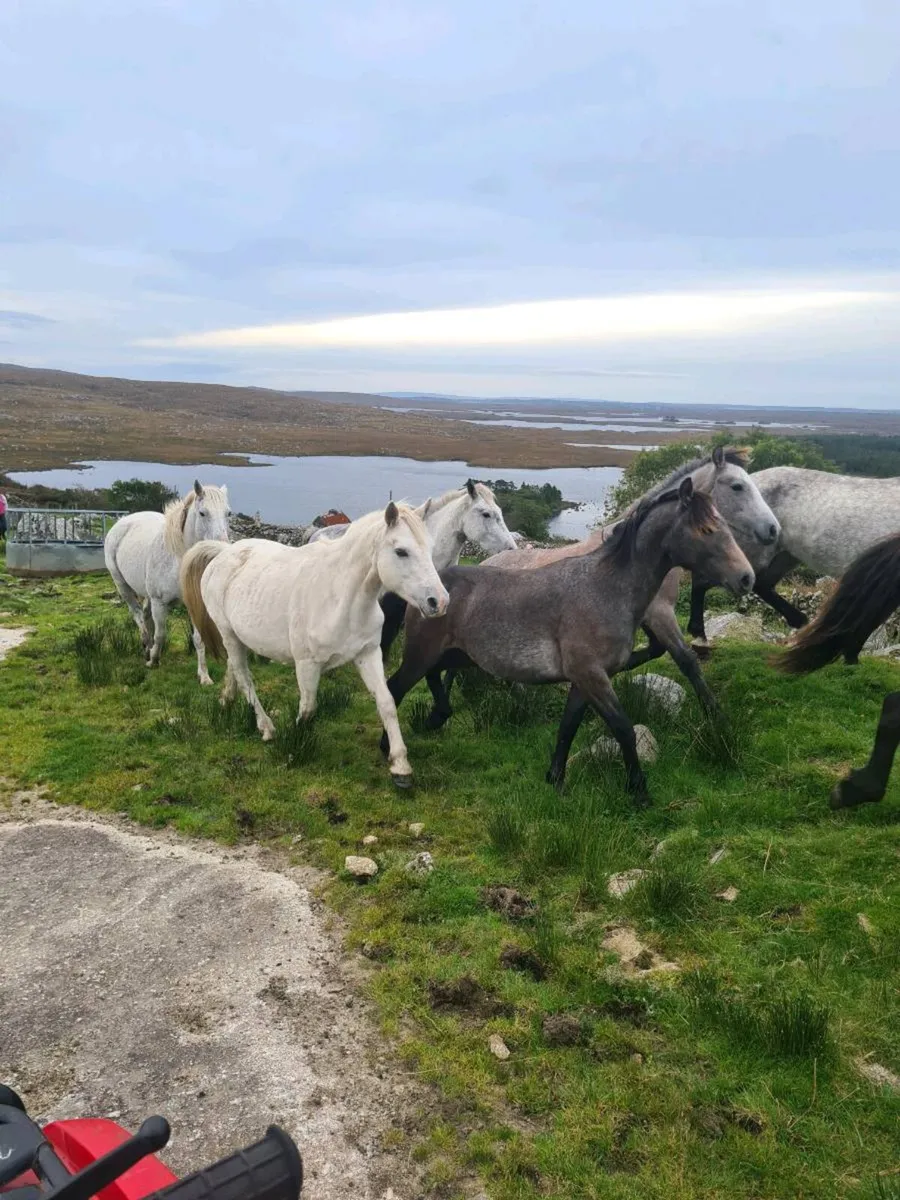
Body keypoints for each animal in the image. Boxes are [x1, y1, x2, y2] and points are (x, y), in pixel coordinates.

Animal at [104, 481, 231, 683]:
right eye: (203, 513)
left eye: (228, 513)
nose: (223, 549)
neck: (178, 560)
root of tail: (123, 521)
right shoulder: (159, 602)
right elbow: (161, 634)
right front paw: (154, 660)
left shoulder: (193, 604)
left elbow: (198, 639)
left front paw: (203, 675)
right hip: (122, 586)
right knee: (138, 615)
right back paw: (146, 646)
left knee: (145, 616)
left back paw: (147, 648)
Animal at [179, 502, 449, 787]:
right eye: (401, 551)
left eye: (429, 548)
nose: (439, 602)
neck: (340, 598)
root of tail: (222, 553)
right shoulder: (307, 664)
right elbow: (308, 707)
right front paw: (293, 741)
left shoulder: (368, 654)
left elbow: (386, 702)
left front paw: (400, 766)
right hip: (227, 633)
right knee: (244, 676)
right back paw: (266, 727)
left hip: (239, 637)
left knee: (234, 669)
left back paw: (226, 699)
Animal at [382, 477, 754, 804]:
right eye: (706, 530)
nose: (746, 578)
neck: (607, 589)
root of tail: (432, 591)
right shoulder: (592, 675)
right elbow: (623, 728)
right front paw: (639, 792)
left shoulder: (583, 680)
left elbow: (568, 727)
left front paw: (556, 779)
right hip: (422, 653)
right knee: (395, 687)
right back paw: (391, 753)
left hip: (454, 655)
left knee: (429, 678)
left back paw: (434, 719)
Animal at [440, 447, 779, 712]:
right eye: (737, 486)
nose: (773, 529)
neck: (635, 552)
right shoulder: (660, 613)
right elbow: (686, 660)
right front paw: (714, 714)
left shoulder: (645, 617)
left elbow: (654, 651)